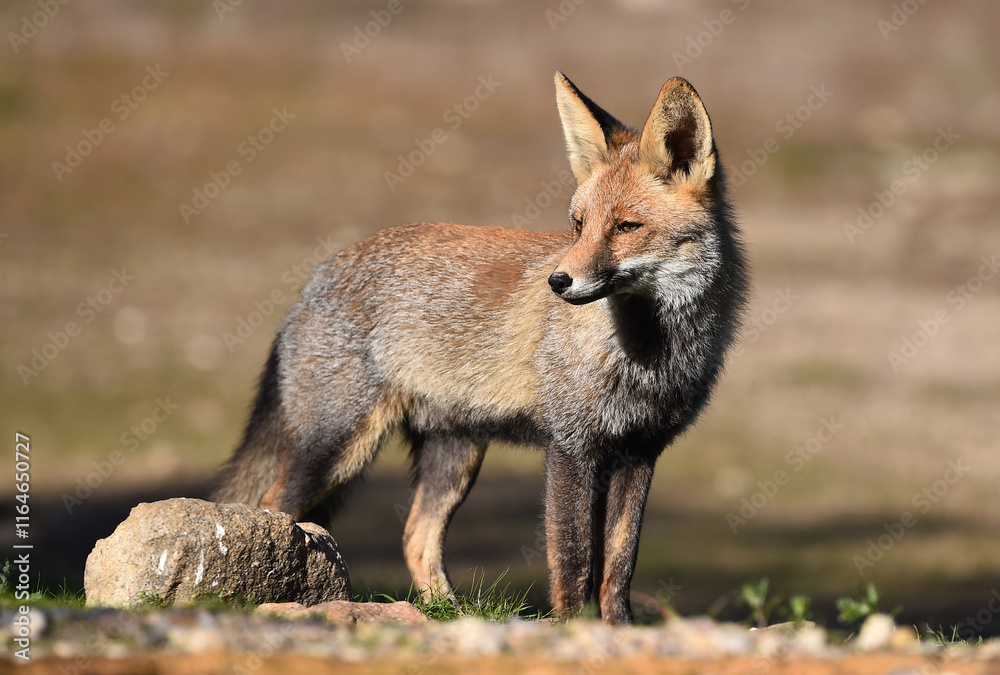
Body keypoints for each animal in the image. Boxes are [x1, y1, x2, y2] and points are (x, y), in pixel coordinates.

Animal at [213, 72, 748, 624]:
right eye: (578, 226)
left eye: (626, 227)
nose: (558, 281)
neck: (648, 355)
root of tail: (317, 277)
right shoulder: (571, 447)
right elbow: (574, 559)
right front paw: (570, 628)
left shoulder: (640, 452)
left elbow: (619, 564)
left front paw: (619, 631)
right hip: (336, 445)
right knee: (275, 507)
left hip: (455, 455)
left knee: (415, 538)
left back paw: (449, 613)